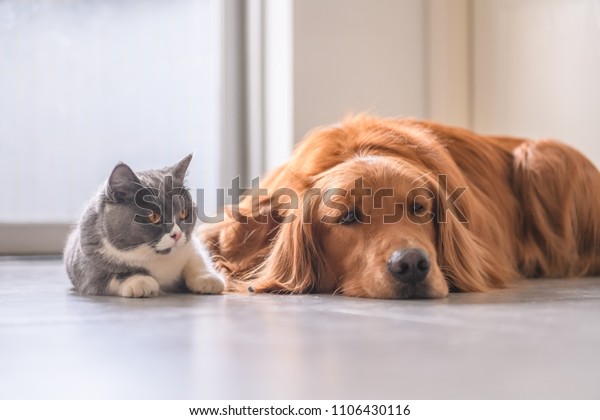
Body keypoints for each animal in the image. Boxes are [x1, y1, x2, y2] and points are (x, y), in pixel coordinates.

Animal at [63, 155, 225, 298]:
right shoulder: (88, 268)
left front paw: (207, 278)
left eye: (184, 213)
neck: (155, 258)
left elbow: (196, 257)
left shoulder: (191, 244)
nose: (177, 234)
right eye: (154, 217)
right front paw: (139, 281)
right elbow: (110, 276)